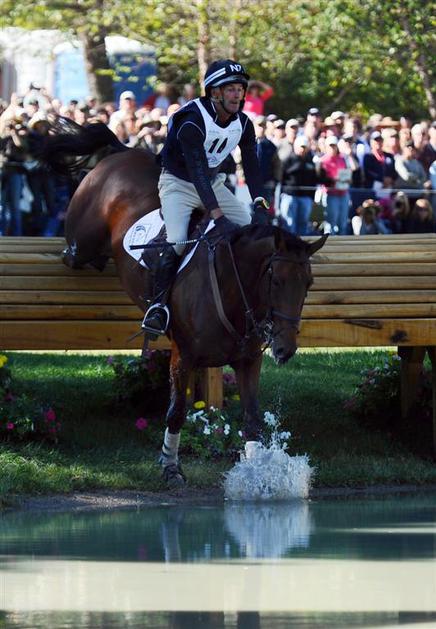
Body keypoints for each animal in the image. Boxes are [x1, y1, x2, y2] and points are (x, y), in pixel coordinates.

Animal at [42, 120, 327, 485]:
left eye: (308, 285)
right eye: (275, 281)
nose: (285, 349)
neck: (233, 292)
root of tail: (122, 153)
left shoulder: (249, 362)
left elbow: (251, 420)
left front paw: (254, 473)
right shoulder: (183, 357)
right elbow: (177, 413)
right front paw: (170, 466)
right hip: (84, 237)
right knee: (76, 253)